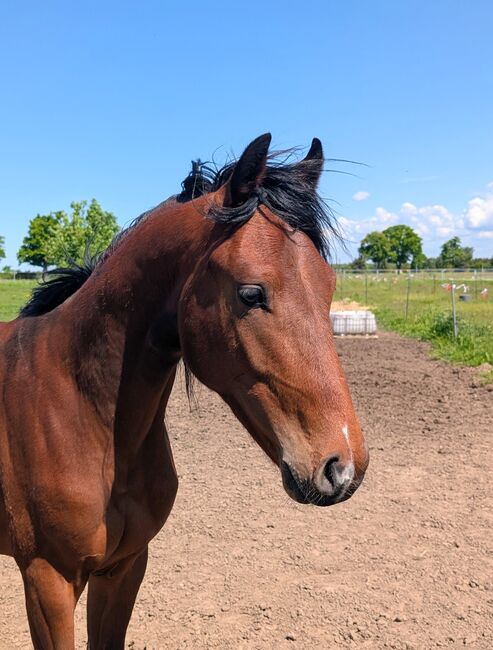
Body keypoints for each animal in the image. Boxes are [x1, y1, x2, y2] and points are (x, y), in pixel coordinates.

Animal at [0, 134, 369, 648]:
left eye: (329, 286)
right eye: (251, 293)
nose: (343, 466)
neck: (74, 406)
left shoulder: (124, 567)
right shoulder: (46, 581)